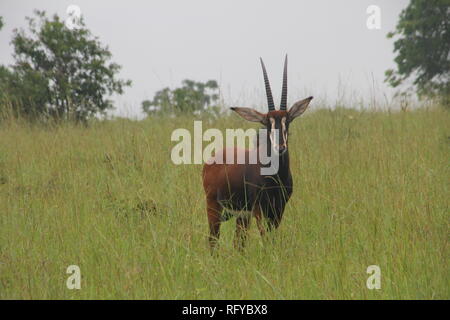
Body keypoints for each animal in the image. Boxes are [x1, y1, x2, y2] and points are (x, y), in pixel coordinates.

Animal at [202, 55, 312, 250]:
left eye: (287, 121)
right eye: (267, 123)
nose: (280, 147)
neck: (276, 176)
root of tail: (211, 161)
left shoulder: (278, 209)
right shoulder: (259, 209)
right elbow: (266, 238)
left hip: (241, 216)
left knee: (239, 243)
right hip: (214, 208)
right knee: (213, 240)